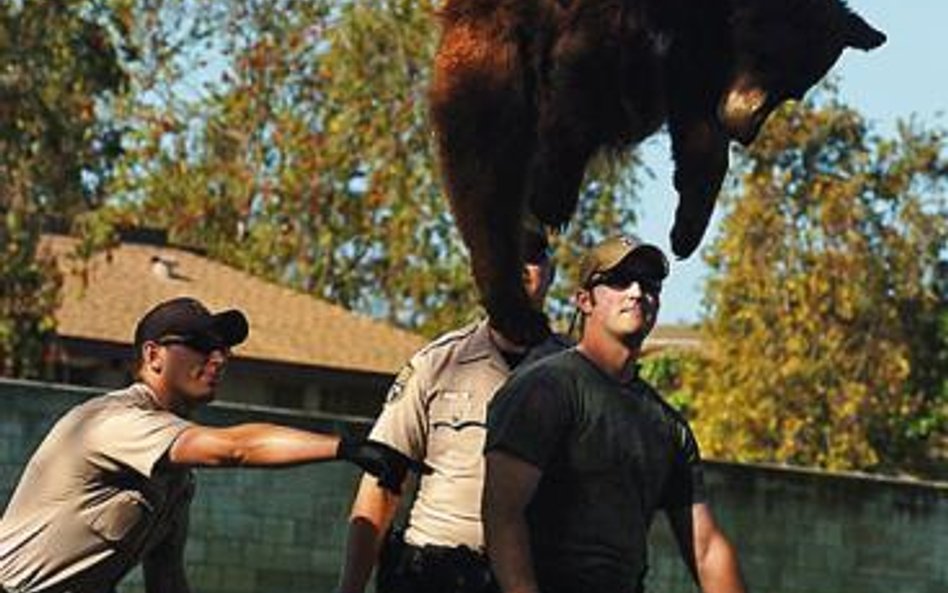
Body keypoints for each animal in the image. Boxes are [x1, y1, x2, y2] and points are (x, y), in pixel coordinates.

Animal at [432, 0, 888, 342]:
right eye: (769, 59)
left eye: (794, 91)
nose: (744, 129)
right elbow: (585, 76)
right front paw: (553, 191)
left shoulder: (699, 46)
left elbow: (698, 127)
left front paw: (687, 228)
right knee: (487, 165)